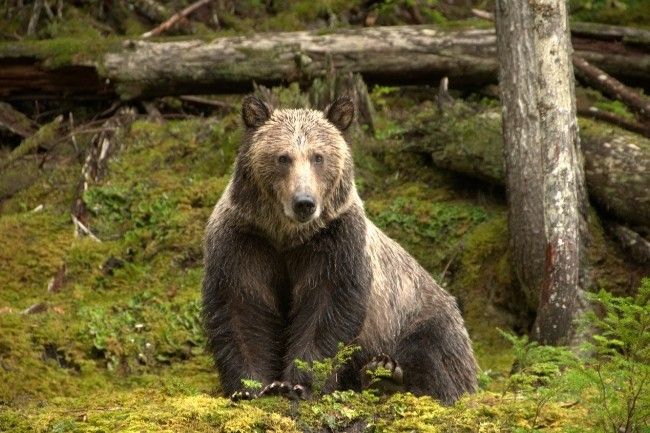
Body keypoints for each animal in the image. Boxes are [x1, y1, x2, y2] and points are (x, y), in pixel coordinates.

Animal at [201, 93, 476, 402]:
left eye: (318, 157)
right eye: (283, 157)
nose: (304, 202)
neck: (288, 236)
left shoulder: (336, 243)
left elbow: (326, 307)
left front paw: (300, 383)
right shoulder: (246, 242)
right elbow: (242, 307)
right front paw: (252, 386)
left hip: (417, 314)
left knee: (433, 358)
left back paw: (387, 374)